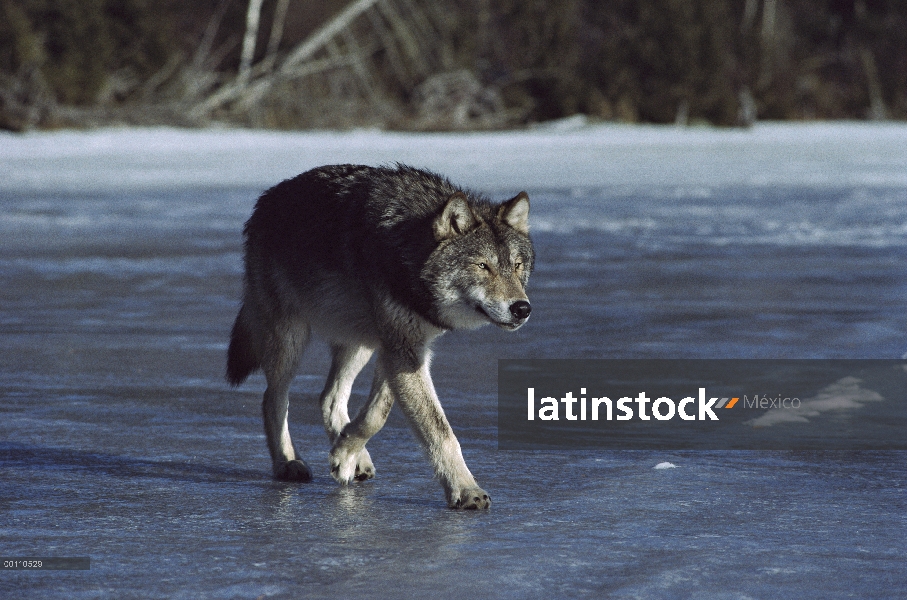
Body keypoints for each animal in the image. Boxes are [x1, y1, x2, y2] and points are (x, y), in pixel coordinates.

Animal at [227, 165, 536, 510]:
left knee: (329, 397)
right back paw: (287, 463)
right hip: (290, 339)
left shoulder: (406, 348)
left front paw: (344, 454)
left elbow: (377, 414)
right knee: (274, 399)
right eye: (483, 266)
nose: (522, 308)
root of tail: (265, 200)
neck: (408, 249)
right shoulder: (401, 349)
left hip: (359, 341)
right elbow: (439, 429)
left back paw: (354, 458)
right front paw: (466, 490)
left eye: (517, 266)